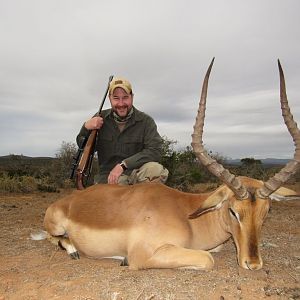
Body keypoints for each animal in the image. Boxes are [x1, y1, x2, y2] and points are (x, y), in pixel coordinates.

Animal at [35, 59, 300, 270]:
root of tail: (65, 201)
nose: (253, 263)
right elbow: (207, 259)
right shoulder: (144, 256)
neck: (187, 215)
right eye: (233, 211)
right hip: (55, 227)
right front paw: (122, 260)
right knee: (52, 237)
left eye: (266, 212)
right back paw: (73, 250)